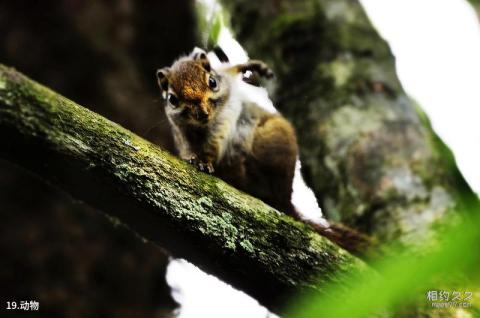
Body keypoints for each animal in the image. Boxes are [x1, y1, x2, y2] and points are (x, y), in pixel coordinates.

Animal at [156, 48, 374, 258]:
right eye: (172, 99)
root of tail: (286, 200)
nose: (202, 113)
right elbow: (188, 147)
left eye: (212, 81)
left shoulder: (223, 103)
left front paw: (253, 67)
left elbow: (232, 74)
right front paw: (194, 158)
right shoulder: (181, 131)